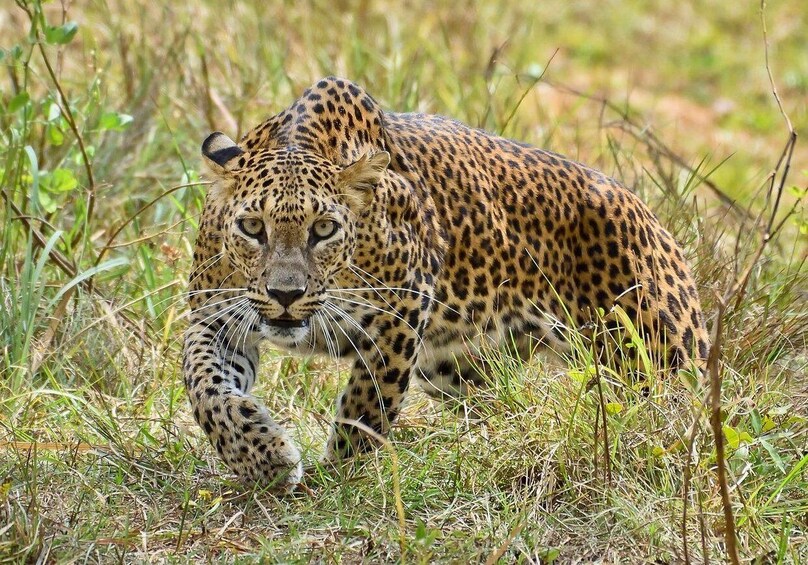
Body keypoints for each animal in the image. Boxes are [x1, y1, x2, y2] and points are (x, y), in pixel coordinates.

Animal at [183, 77, 709, 489]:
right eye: (253, 227)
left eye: (324, 229)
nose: (286, 295)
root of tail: (653, 218)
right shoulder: (215, 316)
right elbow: (205, 386)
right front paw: (263, 458)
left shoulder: (400, 315)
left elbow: (367, 406)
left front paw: (336, 478)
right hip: (459, 367)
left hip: (657, 357)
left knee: (684, 417)